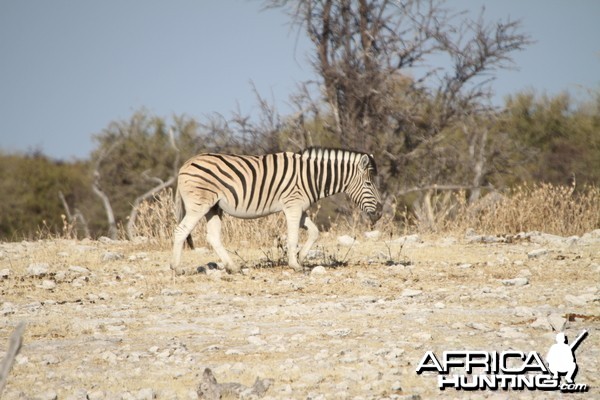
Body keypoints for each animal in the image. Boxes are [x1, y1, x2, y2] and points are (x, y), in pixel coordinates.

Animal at [171, 148, 382, 276]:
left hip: (214, 208)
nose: (380, 212)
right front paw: (295, 264)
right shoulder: (292, 207)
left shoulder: (299, 208)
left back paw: (234, 267)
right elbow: (293, 237)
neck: (312, 176)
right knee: (181, 231)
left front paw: (301, 257)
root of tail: (185, 164)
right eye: (368, 184)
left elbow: (314, 232)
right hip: (199, 205)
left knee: (213, 237)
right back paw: (176, 268)